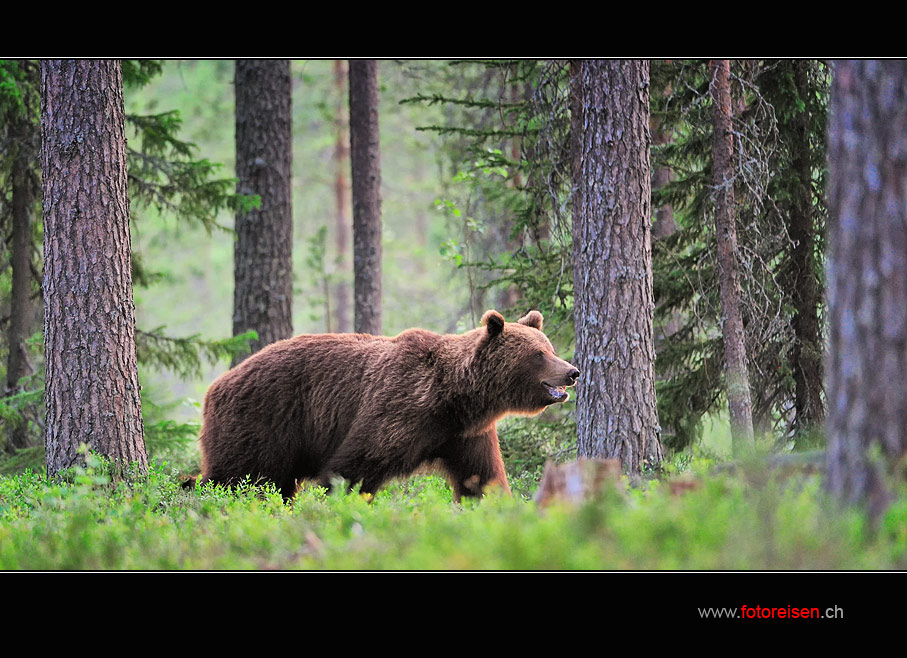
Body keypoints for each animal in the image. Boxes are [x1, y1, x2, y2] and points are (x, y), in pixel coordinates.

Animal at [193, 310, 580, 500]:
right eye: (539, 354)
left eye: (549, 346)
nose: (572, 371)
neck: (453, 399)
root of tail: (215, 386)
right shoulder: (398, 409)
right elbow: (352, 468)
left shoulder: (465, 435)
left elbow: (482, 477)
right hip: (265, 419)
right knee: (241, 478)